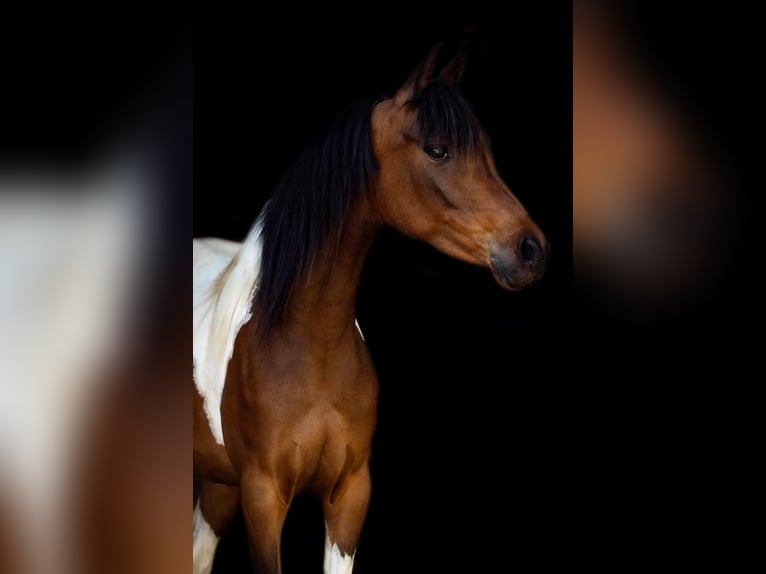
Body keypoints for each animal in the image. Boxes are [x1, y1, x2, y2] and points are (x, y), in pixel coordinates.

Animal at [192, 43, 548, 574]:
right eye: (438, 149)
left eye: (486, 148)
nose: (530, 250)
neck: (309, 343)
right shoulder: (263, 497)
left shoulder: (350, 496)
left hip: (218, 485)